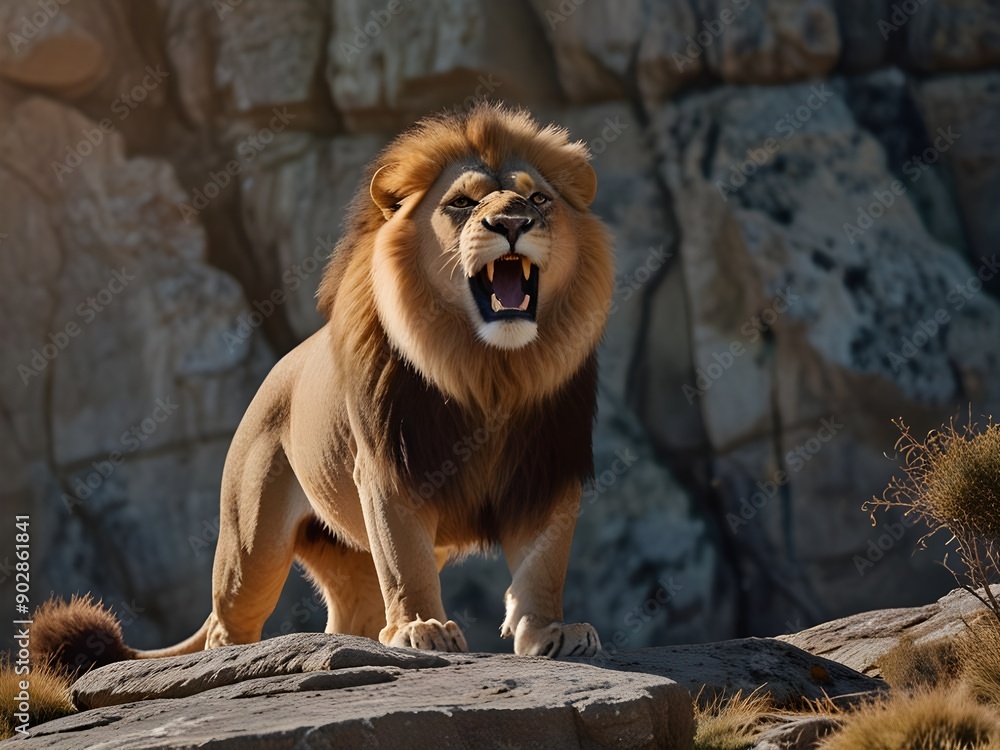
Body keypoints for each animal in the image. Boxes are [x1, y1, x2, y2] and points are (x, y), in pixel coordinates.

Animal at [34, 104, 614, 672]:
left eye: (538, 198)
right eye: (462, 203)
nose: (512, 222)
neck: (489, 372)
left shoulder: (548, 469)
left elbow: (544, 564)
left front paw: (550, 631)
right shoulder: (388, 471)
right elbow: (405, 563)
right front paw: (420, 629)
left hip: (348, 555)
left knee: (349, 621)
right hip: (251, 542)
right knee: (228, 622)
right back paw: (234, 660)